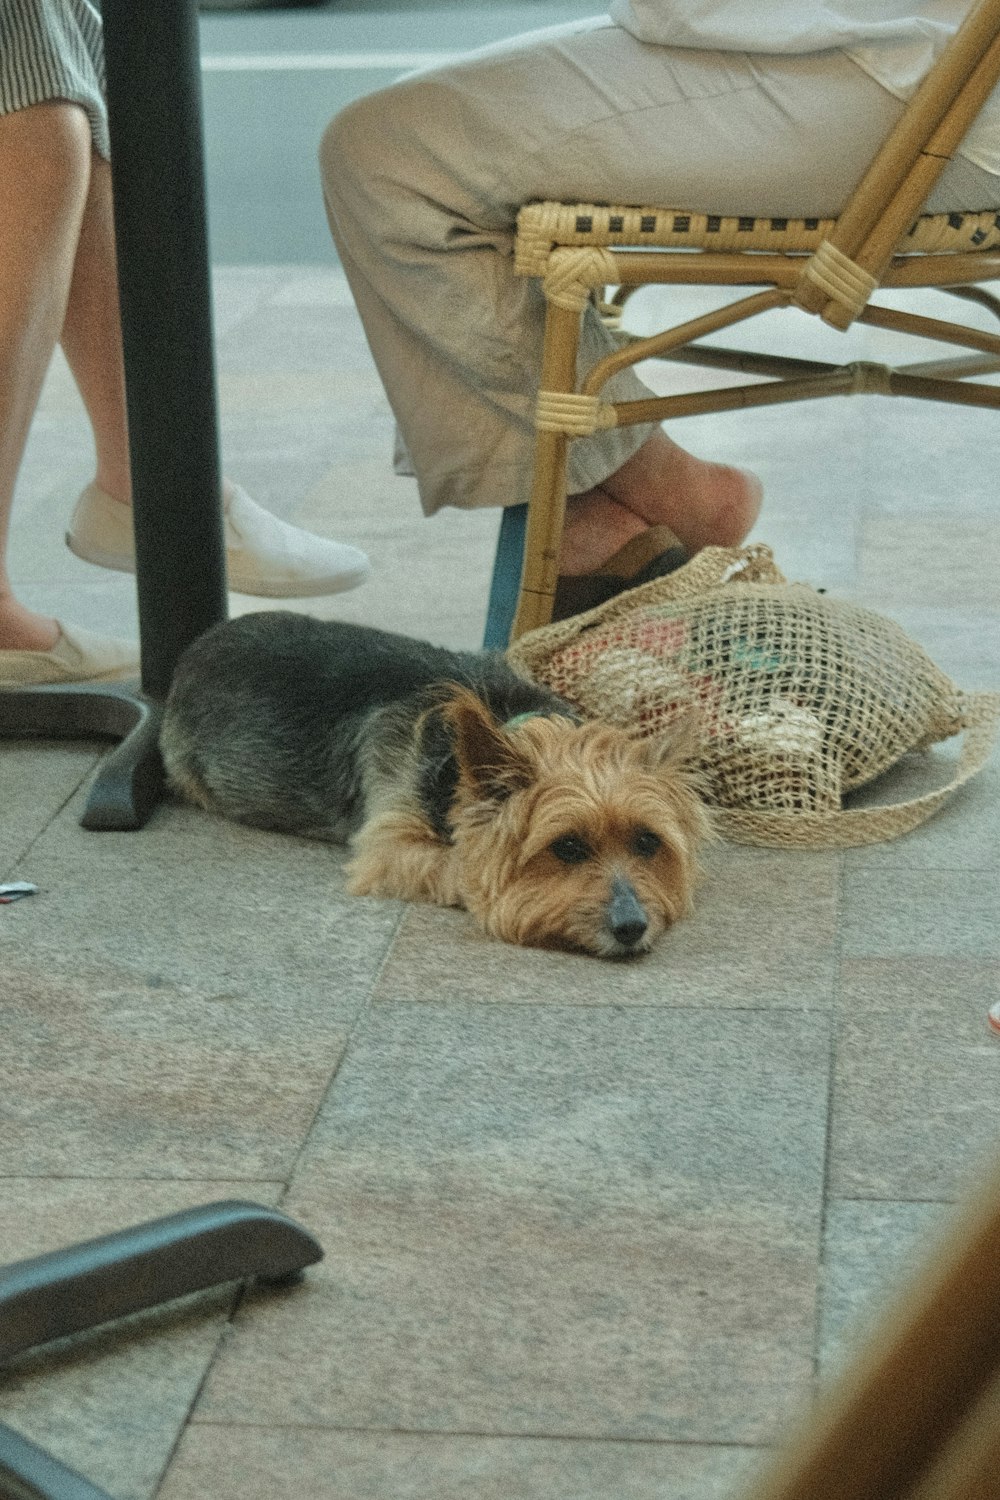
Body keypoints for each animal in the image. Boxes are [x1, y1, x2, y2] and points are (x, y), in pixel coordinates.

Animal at [162, 612, 710, 954]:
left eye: (647, 842)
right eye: (568, 848)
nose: (631, 927)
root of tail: (196, 647)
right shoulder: (388, 845)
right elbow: (459, 867)